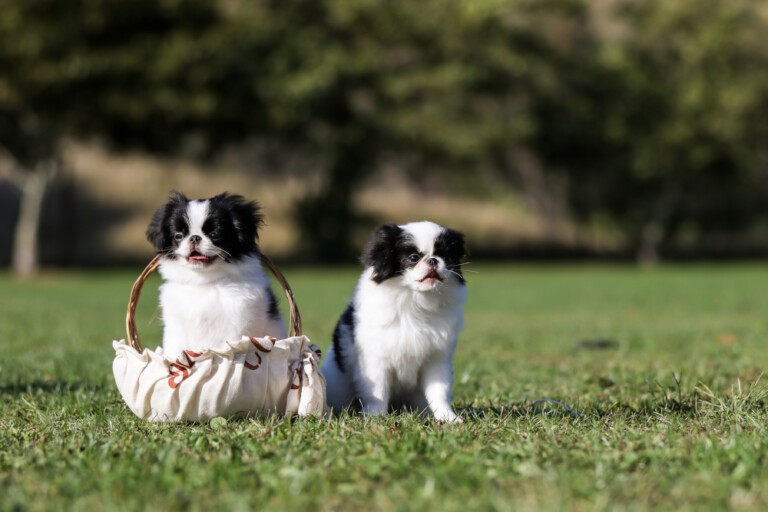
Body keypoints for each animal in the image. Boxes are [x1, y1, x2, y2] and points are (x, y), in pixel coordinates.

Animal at [146, 192, 286, 360]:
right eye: (178, 235)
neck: (204, 281)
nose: (194, 237)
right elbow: (175, 350)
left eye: (214, 234)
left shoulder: (236, 326)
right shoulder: (176, 329)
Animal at [322, 221, 468, 424]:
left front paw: (448, 418)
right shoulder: (375, 360)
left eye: (446, 256)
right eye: (413, 258)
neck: (415, 302)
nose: (433, 260)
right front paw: (375, 417)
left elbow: (439, 391)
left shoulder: (436, 360)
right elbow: (378, 392)